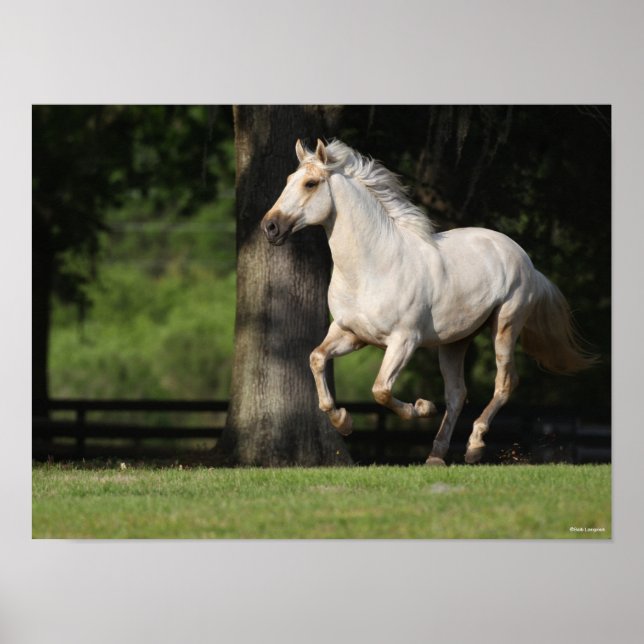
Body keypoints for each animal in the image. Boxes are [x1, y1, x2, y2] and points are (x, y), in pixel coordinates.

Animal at [261, 138, 595, 465]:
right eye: (289, 180)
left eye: (311, 183)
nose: (270, 227)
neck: (372, 268)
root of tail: (526, 261)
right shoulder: (350, 334)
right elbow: (316, 358)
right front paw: (344, 422)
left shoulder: (404, 341)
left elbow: (380, 390)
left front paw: (422, 407)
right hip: (455, 342)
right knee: (457, 393)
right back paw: (436, 455)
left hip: (504, 327)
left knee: (504, 383)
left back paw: (473, 447)